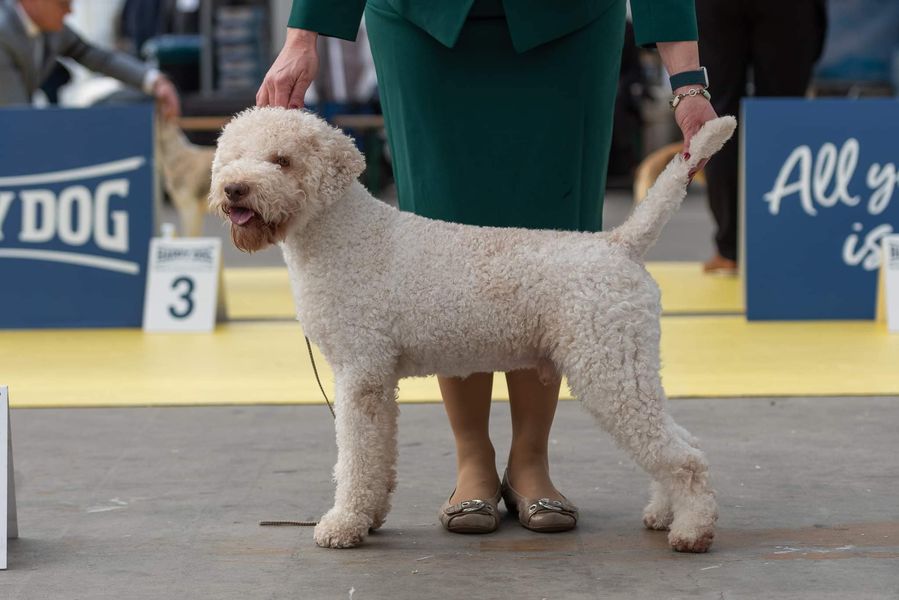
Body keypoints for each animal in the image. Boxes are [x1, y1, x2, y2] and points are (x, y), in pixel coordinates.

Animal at [211, 106, 740, 552]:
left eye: (282, 160)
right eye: (233, 158)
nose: (234, 188)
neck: (344, 236)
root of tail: (619, 244)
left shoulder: (359, 372)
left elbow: (355, 456)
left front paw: (342, 525)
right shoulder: (376, 380)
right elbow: (378, 453)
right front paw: (371, 517)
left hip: (610, 368)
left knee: (683, 456)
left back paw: (692, 531)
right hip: (628, 364)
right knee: (683, 441)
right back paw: (663, 514)